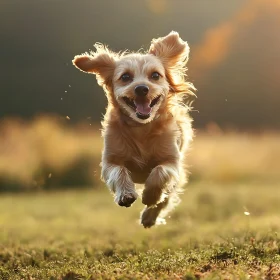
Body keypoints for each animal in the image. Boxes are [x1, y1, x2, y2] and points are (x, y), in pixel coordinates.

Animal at [72, 31, 195, 228]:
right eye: (125, 77)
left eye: (155, 75)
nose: (141, 89)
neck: (141, 128)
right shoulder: (110, 161)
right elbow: (119, 171)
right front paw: (126, 194)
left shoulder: (172, 161)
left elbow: (160, 172)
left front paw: (150, 196)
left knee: (167, 197)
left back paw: (149, 216)